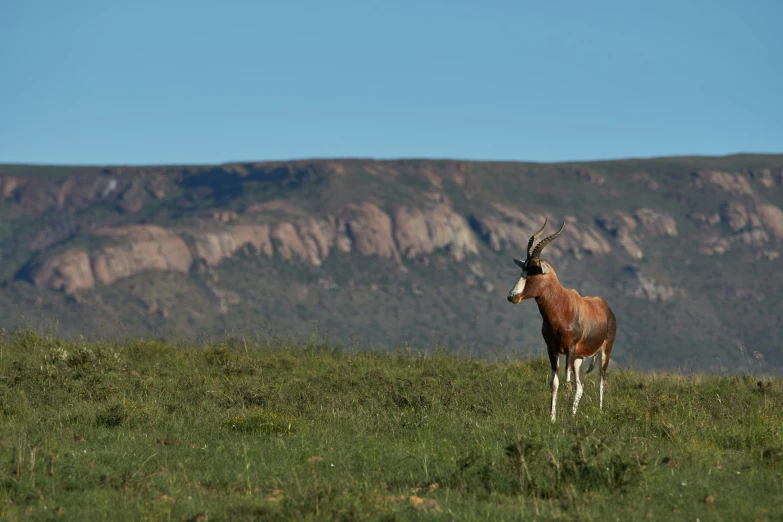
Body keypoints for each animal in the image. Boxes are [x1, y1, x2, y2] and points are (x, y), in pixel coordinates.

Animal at [508, 217, 620, 420]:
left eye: (532, 273)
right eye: (522, 271)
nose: (512, 297)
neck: (561, 307)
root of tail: (605, 306)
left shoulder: (569, 349)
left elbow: (567, 384)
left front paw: (563, 418)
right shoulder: (552, 349)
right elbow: (555, 383)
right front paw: (552, 418)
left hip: (603, 350)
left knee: (601, 380)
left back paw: (599, 412)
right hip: (579, 358)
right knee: (581, 385)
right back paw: (573, 414)